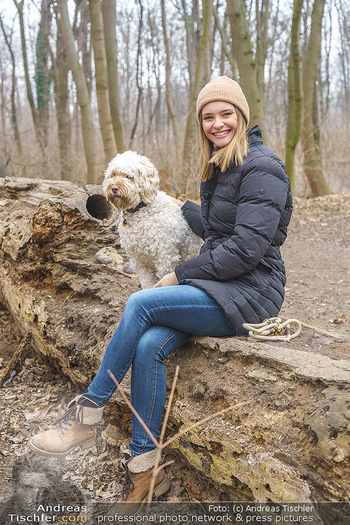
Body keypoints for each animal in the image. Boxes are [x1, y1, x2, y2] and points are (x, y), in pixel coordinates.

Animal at [102, 149, 201, 288]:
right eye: (114, 174)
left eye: (129, 176)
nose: (114, 188)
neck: (139, 211)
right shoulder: (139, 262)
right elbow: (147, 283)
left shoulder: (165, 258)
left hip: (189, 252)